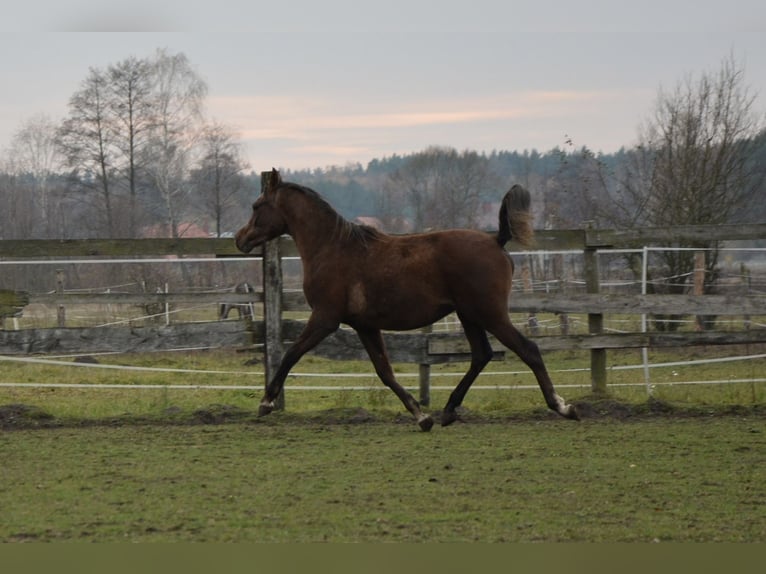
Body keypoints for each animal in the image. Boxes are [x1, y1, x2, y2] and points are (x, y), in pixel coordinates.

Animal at [237, 170, 580, 432]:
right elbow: (385, 372)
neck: (333, 247)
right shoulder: (364, 326)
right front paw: (421, 416)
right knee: (482, 355)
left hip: (490, 314)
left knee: (528, 350)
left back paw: (563, 407)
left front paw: (266, 402)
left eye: (256, 205)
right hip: (469, 315)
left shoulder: (325, 318)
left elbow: (290, 354)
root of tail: (497, 240)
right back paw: (448, 411)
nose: (240, 239)